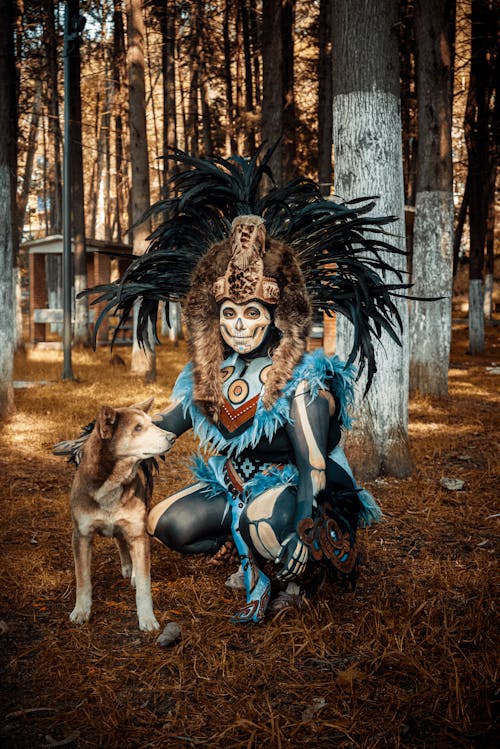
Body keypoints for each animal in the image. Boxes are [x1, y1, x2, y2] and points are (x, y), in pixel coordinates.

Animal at [54, 398, 175, 632]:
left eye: (151, 423)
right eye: (137, 428)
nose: (172, 437)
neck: (112, 482)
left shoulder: (137, 532)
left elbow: (145, 584)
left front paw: (147, 617)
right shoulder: (81, 535)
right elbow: (82, 578)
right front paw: (81, 610)